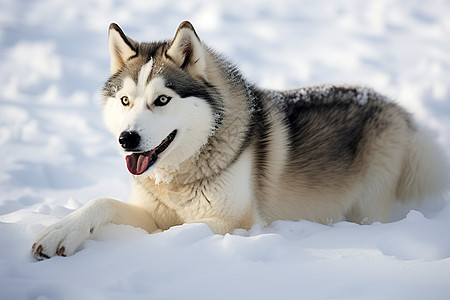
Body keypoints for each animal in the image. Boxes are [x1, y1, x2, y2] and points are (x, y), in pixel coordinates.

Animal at [30, 21, 446, 260]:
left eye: (162, 100)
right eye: (125, 101)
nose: (126, 139)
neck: (180, 177)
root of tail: (397, 108)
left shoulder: (236, 223)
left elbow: (178, 231)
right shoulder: (152, 212)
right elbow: (101, 202)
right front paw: (60, 231)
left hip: (368, 206)